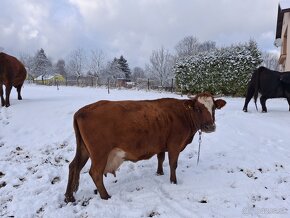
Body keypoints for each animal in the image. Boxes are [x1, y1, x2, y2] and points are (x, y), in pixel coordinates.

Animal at [64, 92, 225, 203]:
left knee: (74, 166)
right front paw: (173, 181)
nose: (210, 126)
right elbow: (173, 164)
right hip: (100, 153)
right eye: (197, 109)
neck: (182, 114)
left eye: (213, 108)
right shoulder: (174, 144)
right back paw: (105, 196)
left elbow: (161, 158)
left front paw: (159, 173)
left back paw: (69, 196)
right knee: (95, 172)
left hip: (83, 149)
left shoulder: (161, 144)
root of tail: (83, 110)